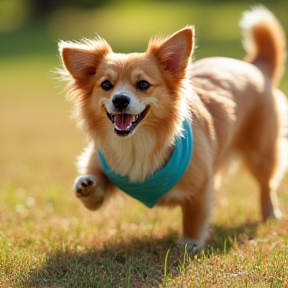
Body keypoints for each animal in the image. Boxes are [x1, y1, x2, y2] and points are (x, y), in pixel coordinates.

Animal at [58, 6, 286, 250]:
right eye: (106, 85)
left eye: (143, 84)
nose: (119, 100)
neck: (137, 143)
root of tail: (253, 65)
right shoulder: (102, 162)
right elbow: (96, 184)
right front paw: (87, 186)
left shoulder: (200, 186)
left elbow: (194, 215)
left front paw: (190, 242)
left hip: (261, 154)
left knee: (266, 184)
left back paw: (270, 213)